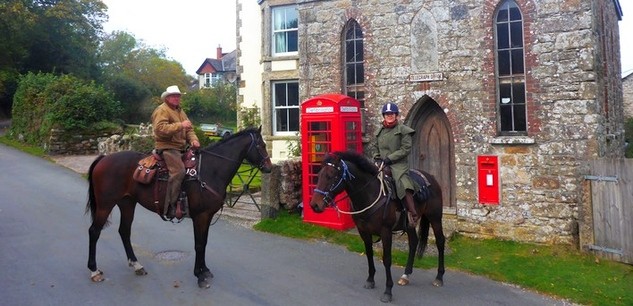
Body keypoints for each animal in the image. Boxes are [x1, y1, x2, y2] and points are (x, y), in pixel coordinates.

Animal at [84, 126, 272, 286]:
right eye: (261, 145)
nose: (269, 167)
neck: (210, 170)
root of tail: (104, 158)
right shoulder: (200, 216)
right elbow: (199, 244)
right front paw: (199, 275)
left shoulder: (207, 216)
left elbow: (204, 242)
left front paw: (204, 270)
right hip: (105, 205)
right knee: (94, 231)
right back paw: (94, 270)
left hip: (127, 203)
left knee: (124, 231)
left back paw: (137, 265)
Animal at [308, 152, 442, 302]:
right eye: (319, 175)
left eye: (331, 175)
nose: (314, 205)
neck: (369, 194)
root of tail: (431, 177)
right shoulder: (364, 231)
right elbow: (369, 254)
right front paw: (370, 280)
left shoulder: (386, 232)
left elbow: (387, 259)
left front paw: (388, 291)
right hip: (410, 225)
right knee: (413, 242)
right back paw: (406, 275)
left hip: (435, 218)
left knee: (440, 242)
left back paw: (439, 277)